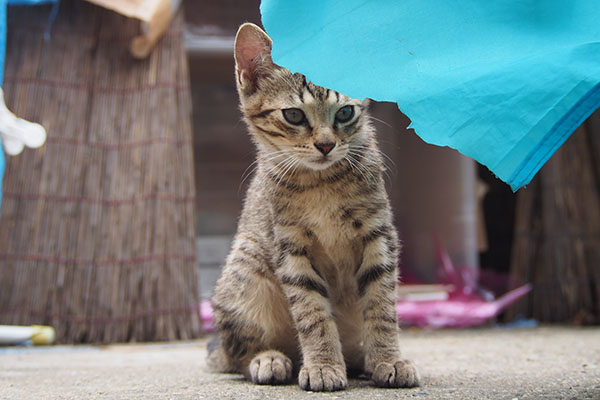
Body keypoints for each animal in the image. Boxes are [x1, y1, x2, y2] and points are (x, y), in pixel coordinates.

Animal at [209, 23, 420, 392]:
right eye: (293, 115)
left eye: (345, 112)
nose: (325, 145)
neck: (320, 182)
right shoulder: (290, 246)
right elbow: (312, 312)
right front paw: (322, 364)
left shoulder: (379, 236)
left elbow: (381, 305)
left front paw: (388, 359)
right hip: (246, 268)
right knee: (236, 356)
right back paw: (269, 359)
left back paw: (360, 361)